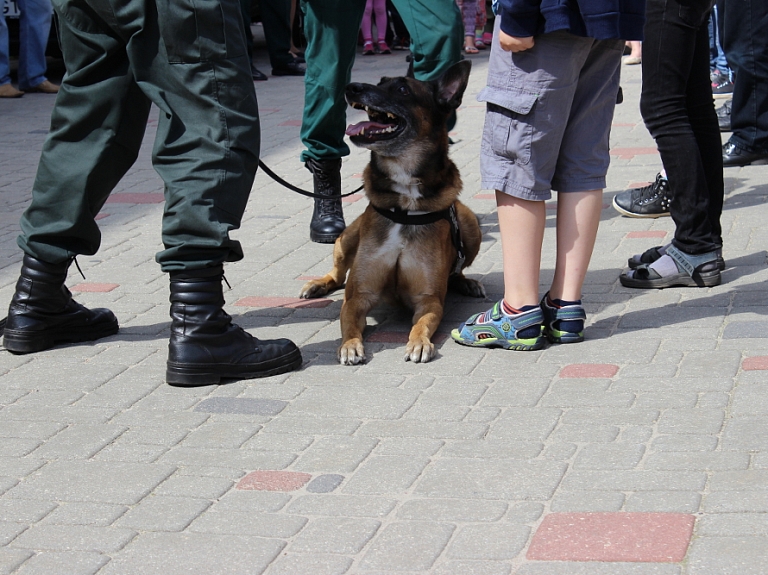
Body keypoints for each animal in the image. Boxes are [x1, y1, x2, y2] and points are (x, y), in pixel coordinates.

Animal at [302, 60, 486, 366]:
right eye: (380, 82)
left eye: (402, 89)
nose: (352, 87)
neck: (405, 203)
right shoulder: (358, 297)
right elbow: (349, 324)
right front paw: (350, 346)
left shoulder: (429, 300)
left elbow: (421, 324)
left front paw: (419, 343)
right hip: (348, 236)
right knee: (338, 272)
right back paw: (319, 284)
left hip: (469, 223)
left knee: (458, 267)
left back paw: (466, 282)